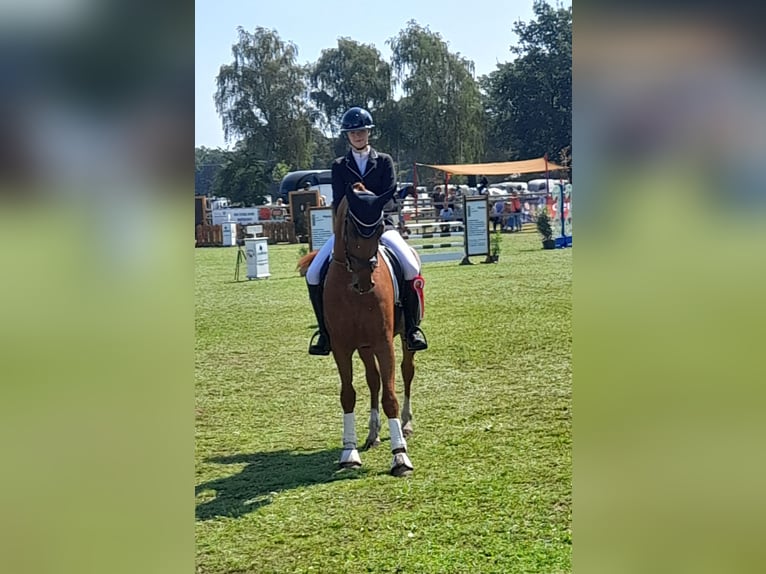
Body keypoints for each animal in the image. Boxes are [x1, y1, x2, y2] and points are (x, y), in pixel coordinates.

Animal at [297, 183, 417, 476]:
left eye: (380, 228)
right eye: (350, 228)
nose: (364, 281)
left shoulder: (384, 344)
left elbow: (390, 397)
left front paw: (400, 457)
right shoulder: (342, 347)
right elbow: (348, 394)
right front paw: (349, 452)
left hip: (403, 340)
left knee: (406, 372)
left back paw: (406, 425)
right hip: (363, 347)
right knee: (373, 380)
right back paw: (373, 434)